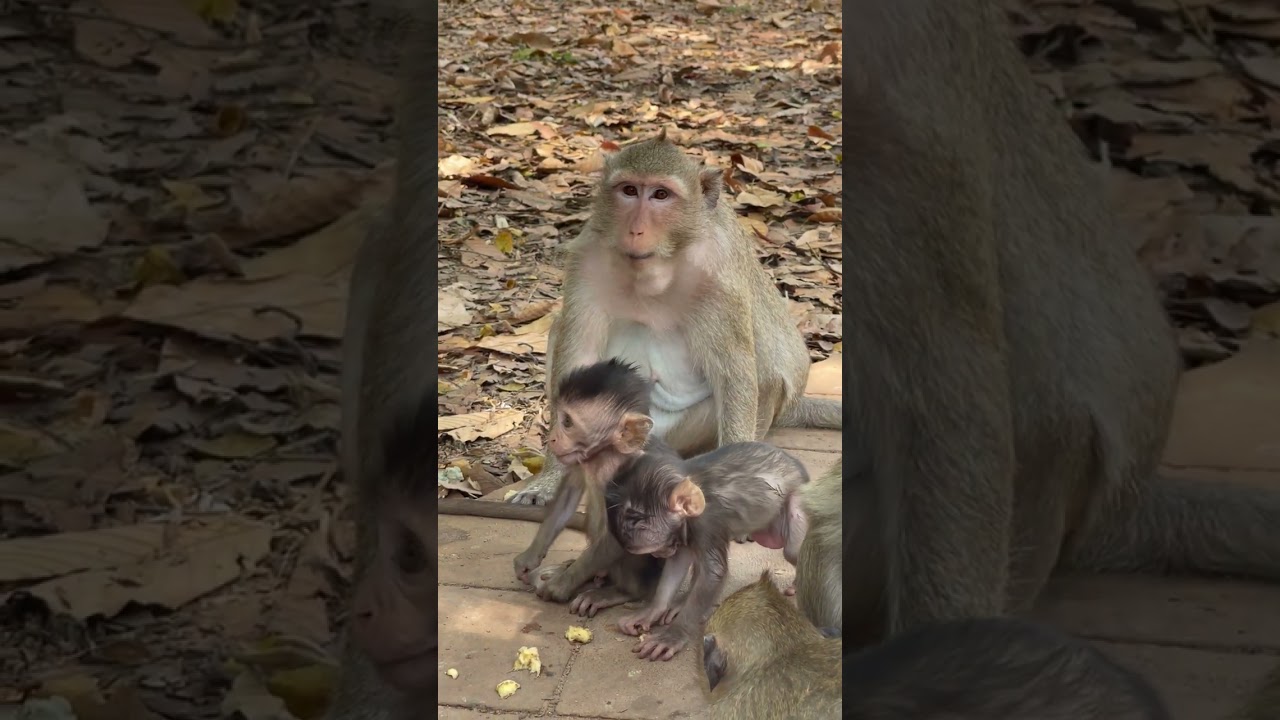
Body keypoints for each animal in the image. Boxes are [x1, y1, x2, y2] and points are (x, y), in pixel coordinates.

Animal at [505, 130, 841, 508]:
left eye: (661, 195)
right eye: (629, 190)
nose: (635, 230)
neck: (653, 267)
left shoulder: (717, 274)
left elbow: (735, 373)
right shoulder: (586, 260)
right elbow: (578, 354)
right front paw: (549, 480)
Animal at [606, 442, 809, 660]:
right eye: (659, 550)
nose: (659, 555)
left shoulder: (706, 522)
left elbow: (713, 572)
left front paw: (673, 635)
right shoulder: (685, 529)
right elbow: (679, 561)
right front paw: (653, 610)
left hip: (798, 497)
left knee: (792, 550)